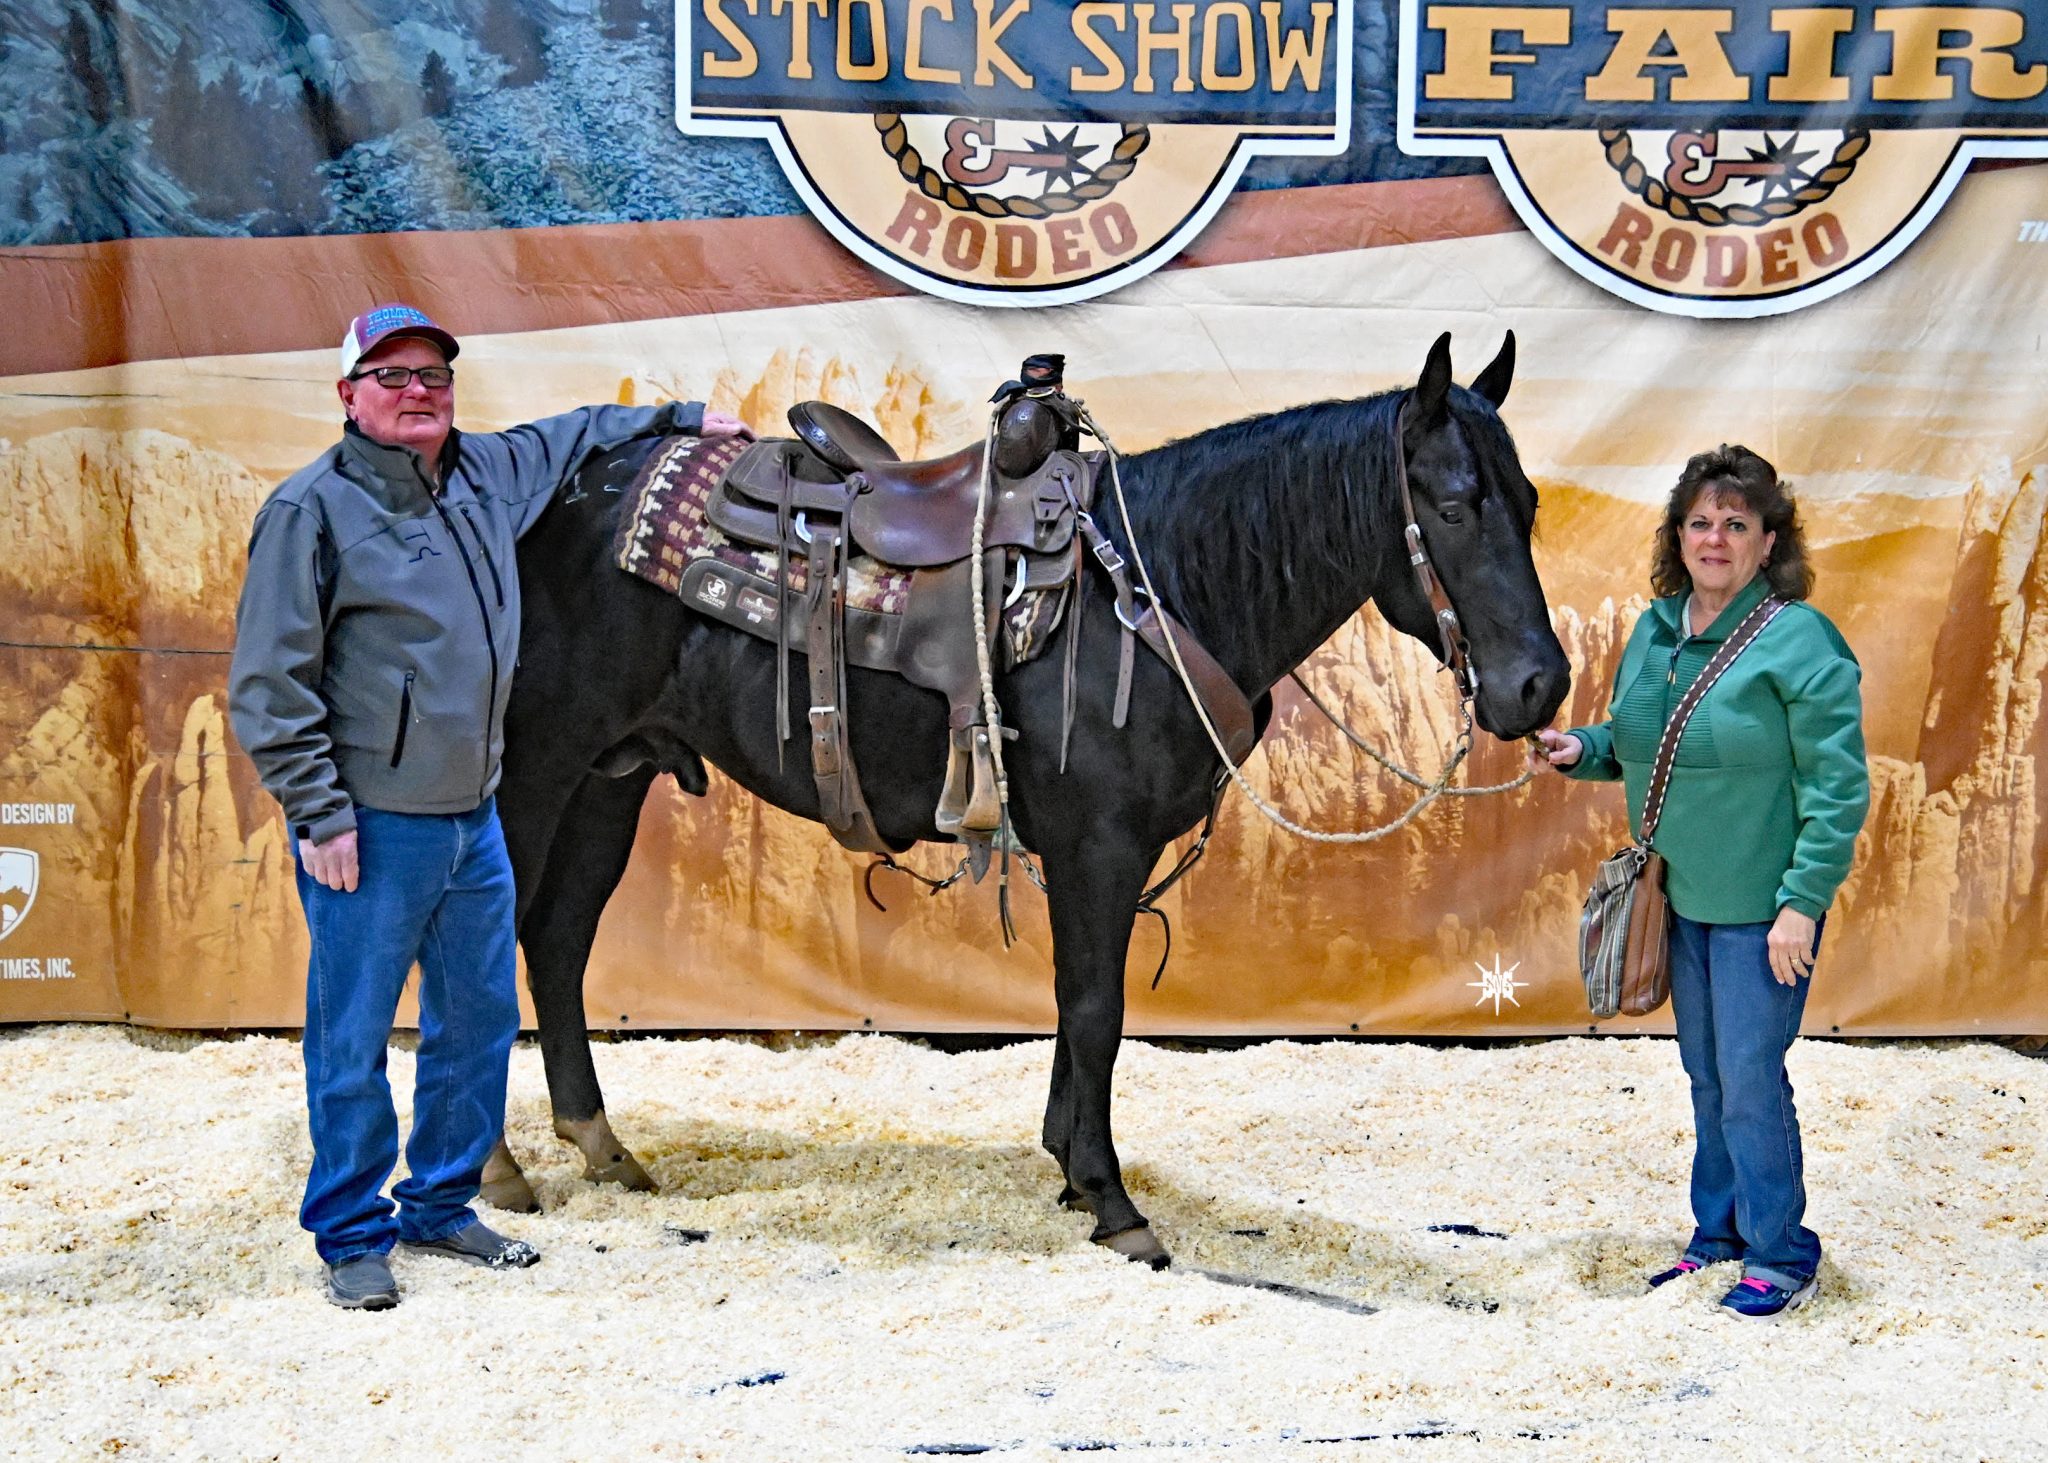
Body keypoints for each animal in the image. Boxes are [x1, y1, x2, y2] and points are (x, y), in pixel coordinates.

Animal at [483, 332, 1570, 1266]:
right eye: (1453, 503)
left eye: (1524, 499)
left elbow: (1072, 1002)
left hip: (610, 775)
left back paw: (602, 1144)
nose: (1540, 685)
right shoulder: (1100, 846)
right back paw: (498, 1171)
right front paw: (1110, 1197)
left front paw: (1071, 1172)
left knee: (560, 936)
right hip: (535, 773)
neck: (1154, 590)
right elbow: (1094, 1009)